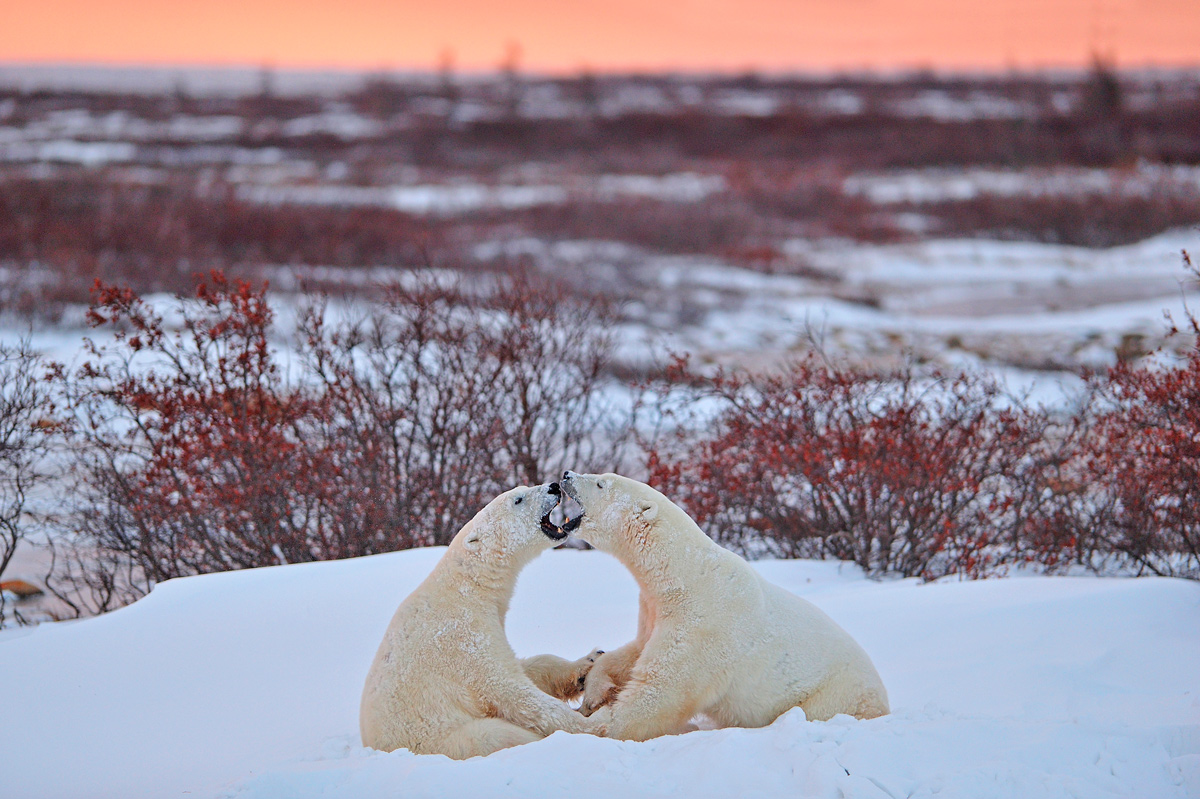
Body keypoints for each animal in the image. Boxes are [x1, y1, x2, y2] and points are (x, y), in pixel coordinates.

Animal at [352, 482, 600, 758]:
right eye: (518, 499)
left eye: (522, 488)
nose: (553, 487)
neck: (468, 586)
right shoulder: (463, 639)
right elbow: (510, 690)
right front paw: (593, 726)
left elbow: (532, 665)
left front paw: (587, 663)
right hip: (443, 738)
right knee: (495, 735)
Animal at [556, 467, 888, 739]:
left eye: (601, 483)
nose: (567, 474)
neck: (683, 573)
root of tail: (883, 700)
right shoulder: (655, 609)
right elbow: (636, 651)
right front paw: (594, 690)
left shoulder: (704, 625)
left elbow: (661, 691)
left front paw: (599, 722)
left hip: (833, 695)